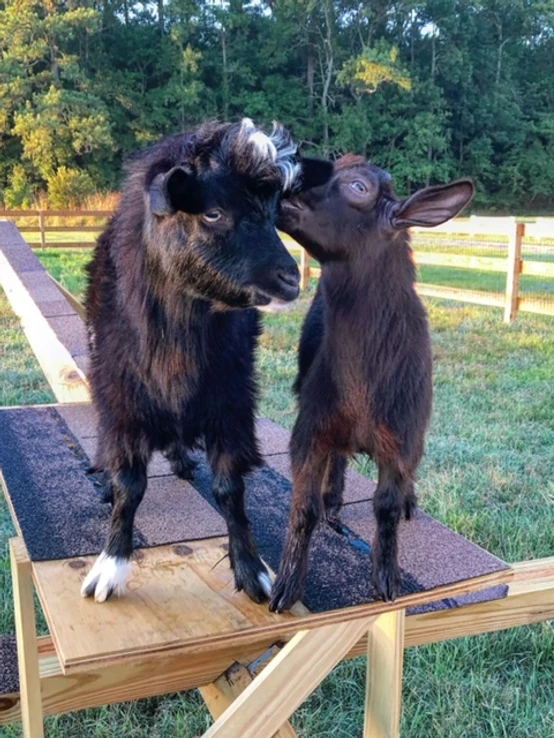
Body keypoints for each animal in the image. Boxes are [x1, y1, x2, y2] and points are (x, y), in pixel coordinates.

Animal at [81, 119, 333, 604]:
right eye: (213, 213)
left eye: (274, 213)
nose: (290, 280)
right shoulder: (122, 398)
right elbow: (130, 484)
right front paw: (111, 566)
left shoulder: (232, 401)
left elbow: (230, 488)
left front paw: (252, 571)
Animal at [270, 155, 475, 611]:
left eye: (358, 187)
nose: (281, 184)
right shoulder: (310, 428)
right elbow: (302, 508)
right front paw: (286, 586)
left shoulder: (402, 437)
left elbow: (386, 507)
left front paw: (387, 580)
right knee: (339, 460)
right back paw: (333, 500)